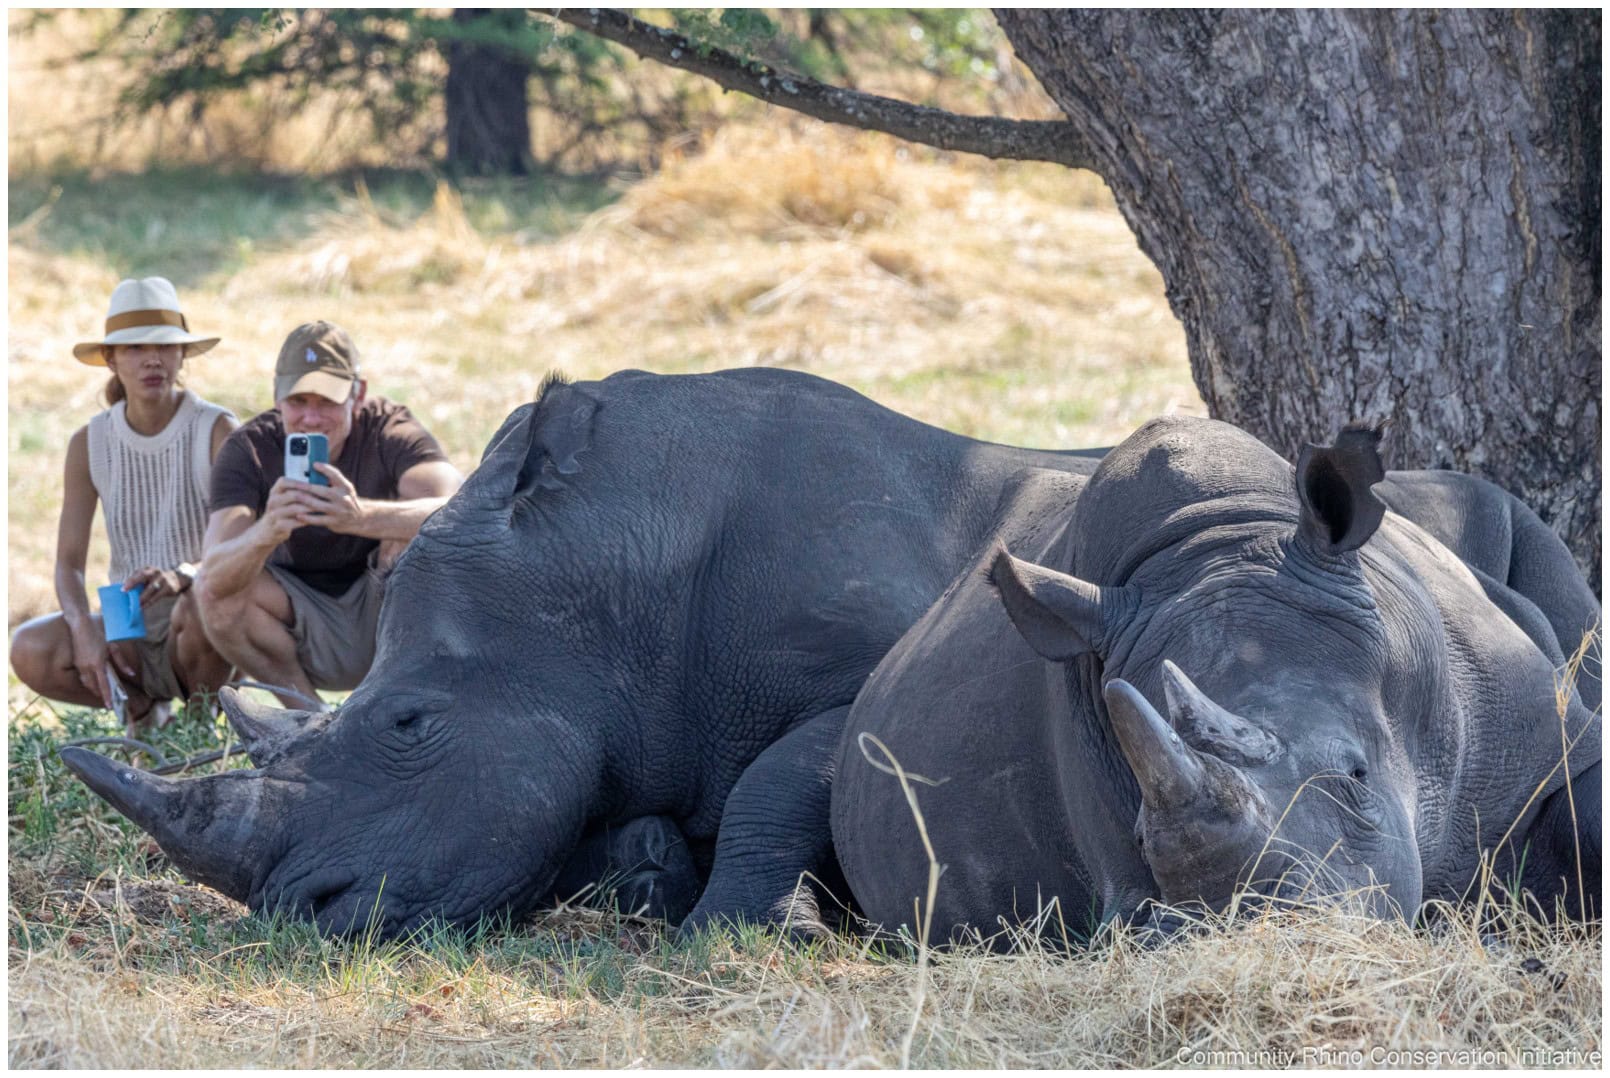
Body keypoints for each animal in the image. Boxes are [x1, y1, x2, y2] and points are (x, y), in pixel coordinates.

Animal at [60, 367, 1107, 938]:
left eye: (407, 721)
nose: (294, 909)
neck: (612, 579)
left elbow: (782, 771)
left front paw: (744, 931)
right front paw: (655, 874)